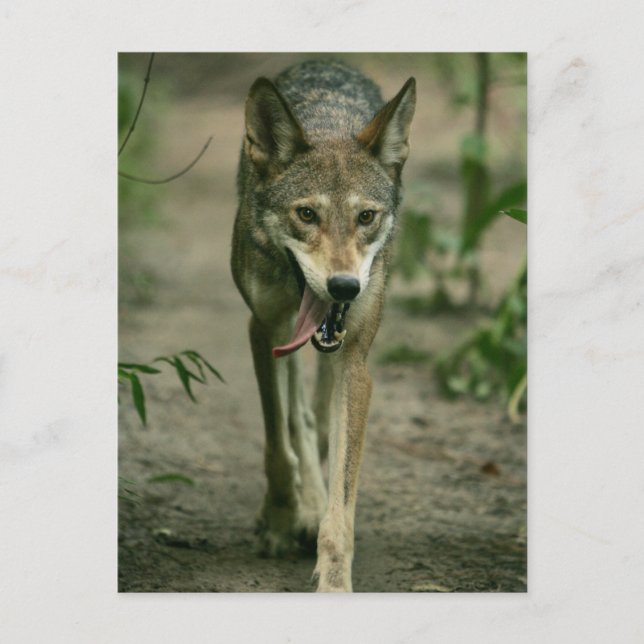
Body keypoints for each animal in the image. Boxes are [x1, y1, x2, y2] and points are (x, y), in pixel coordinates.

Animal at [231, 59, 416, 592]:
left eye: (366, 216)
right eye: (307, 214)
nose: (344, 287)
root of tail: (326, 61)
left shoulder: (355, 362)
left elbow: (343, 502)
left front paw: (333, 580)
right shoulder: (263, 331)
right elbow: (278, 444)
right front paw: (280, 520)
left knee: (313, 419)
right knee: (298, 418)